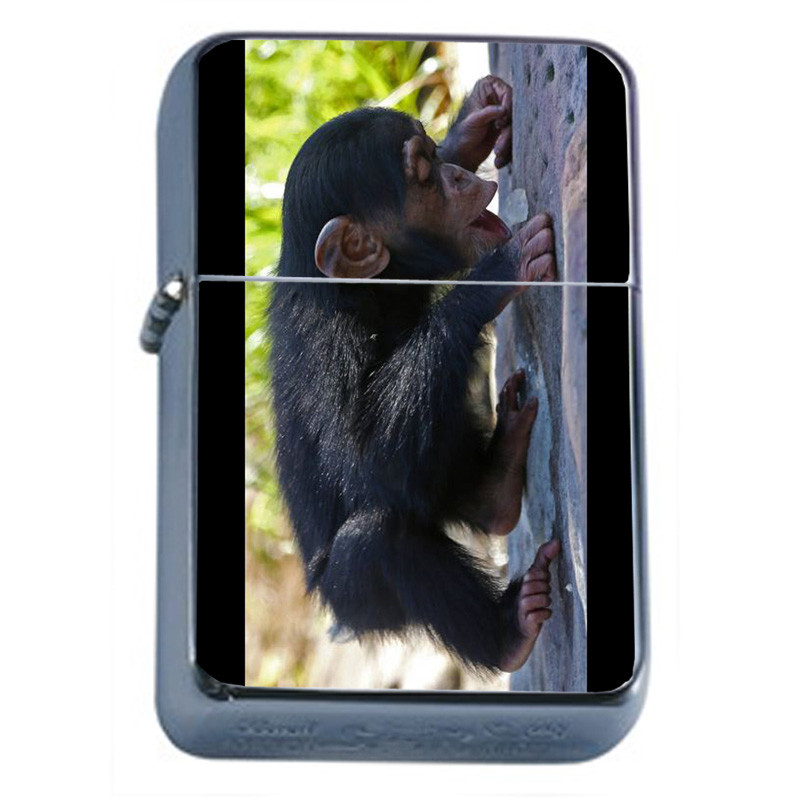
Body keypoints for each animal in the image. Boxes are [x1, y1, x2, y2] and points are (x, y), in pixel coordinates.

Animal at [269, 77, 560, 672]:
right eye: (423, 174)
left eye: (431, 152)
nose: (457, 175)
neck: (371, 292)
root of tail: (341, 624)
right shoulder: (326, 343)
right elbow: (363, 457)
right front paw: (497, 273)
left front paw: (477, 121)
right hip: (359, 601)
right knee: (380, 538)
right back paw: (508, 630)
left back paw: (494, 486)